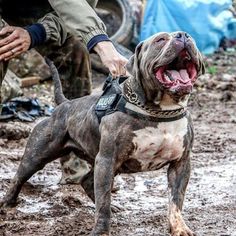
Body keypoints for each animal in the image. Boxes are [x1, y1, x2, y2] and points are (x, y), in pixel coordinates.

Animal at [0, 31, 205, 236]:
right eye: (160, 40)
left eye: (190, 36)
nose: (183, 35)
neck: (159, 111)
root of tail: (64, 104)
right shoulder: (107, 160)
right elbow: (103, 203)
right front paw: (100, 231)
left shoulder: (180, 163)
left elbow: (175, 200)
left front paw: (179, 227)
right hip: (38, 155)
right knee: (19, 177)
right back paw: (6, 204)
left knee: (86, 180)